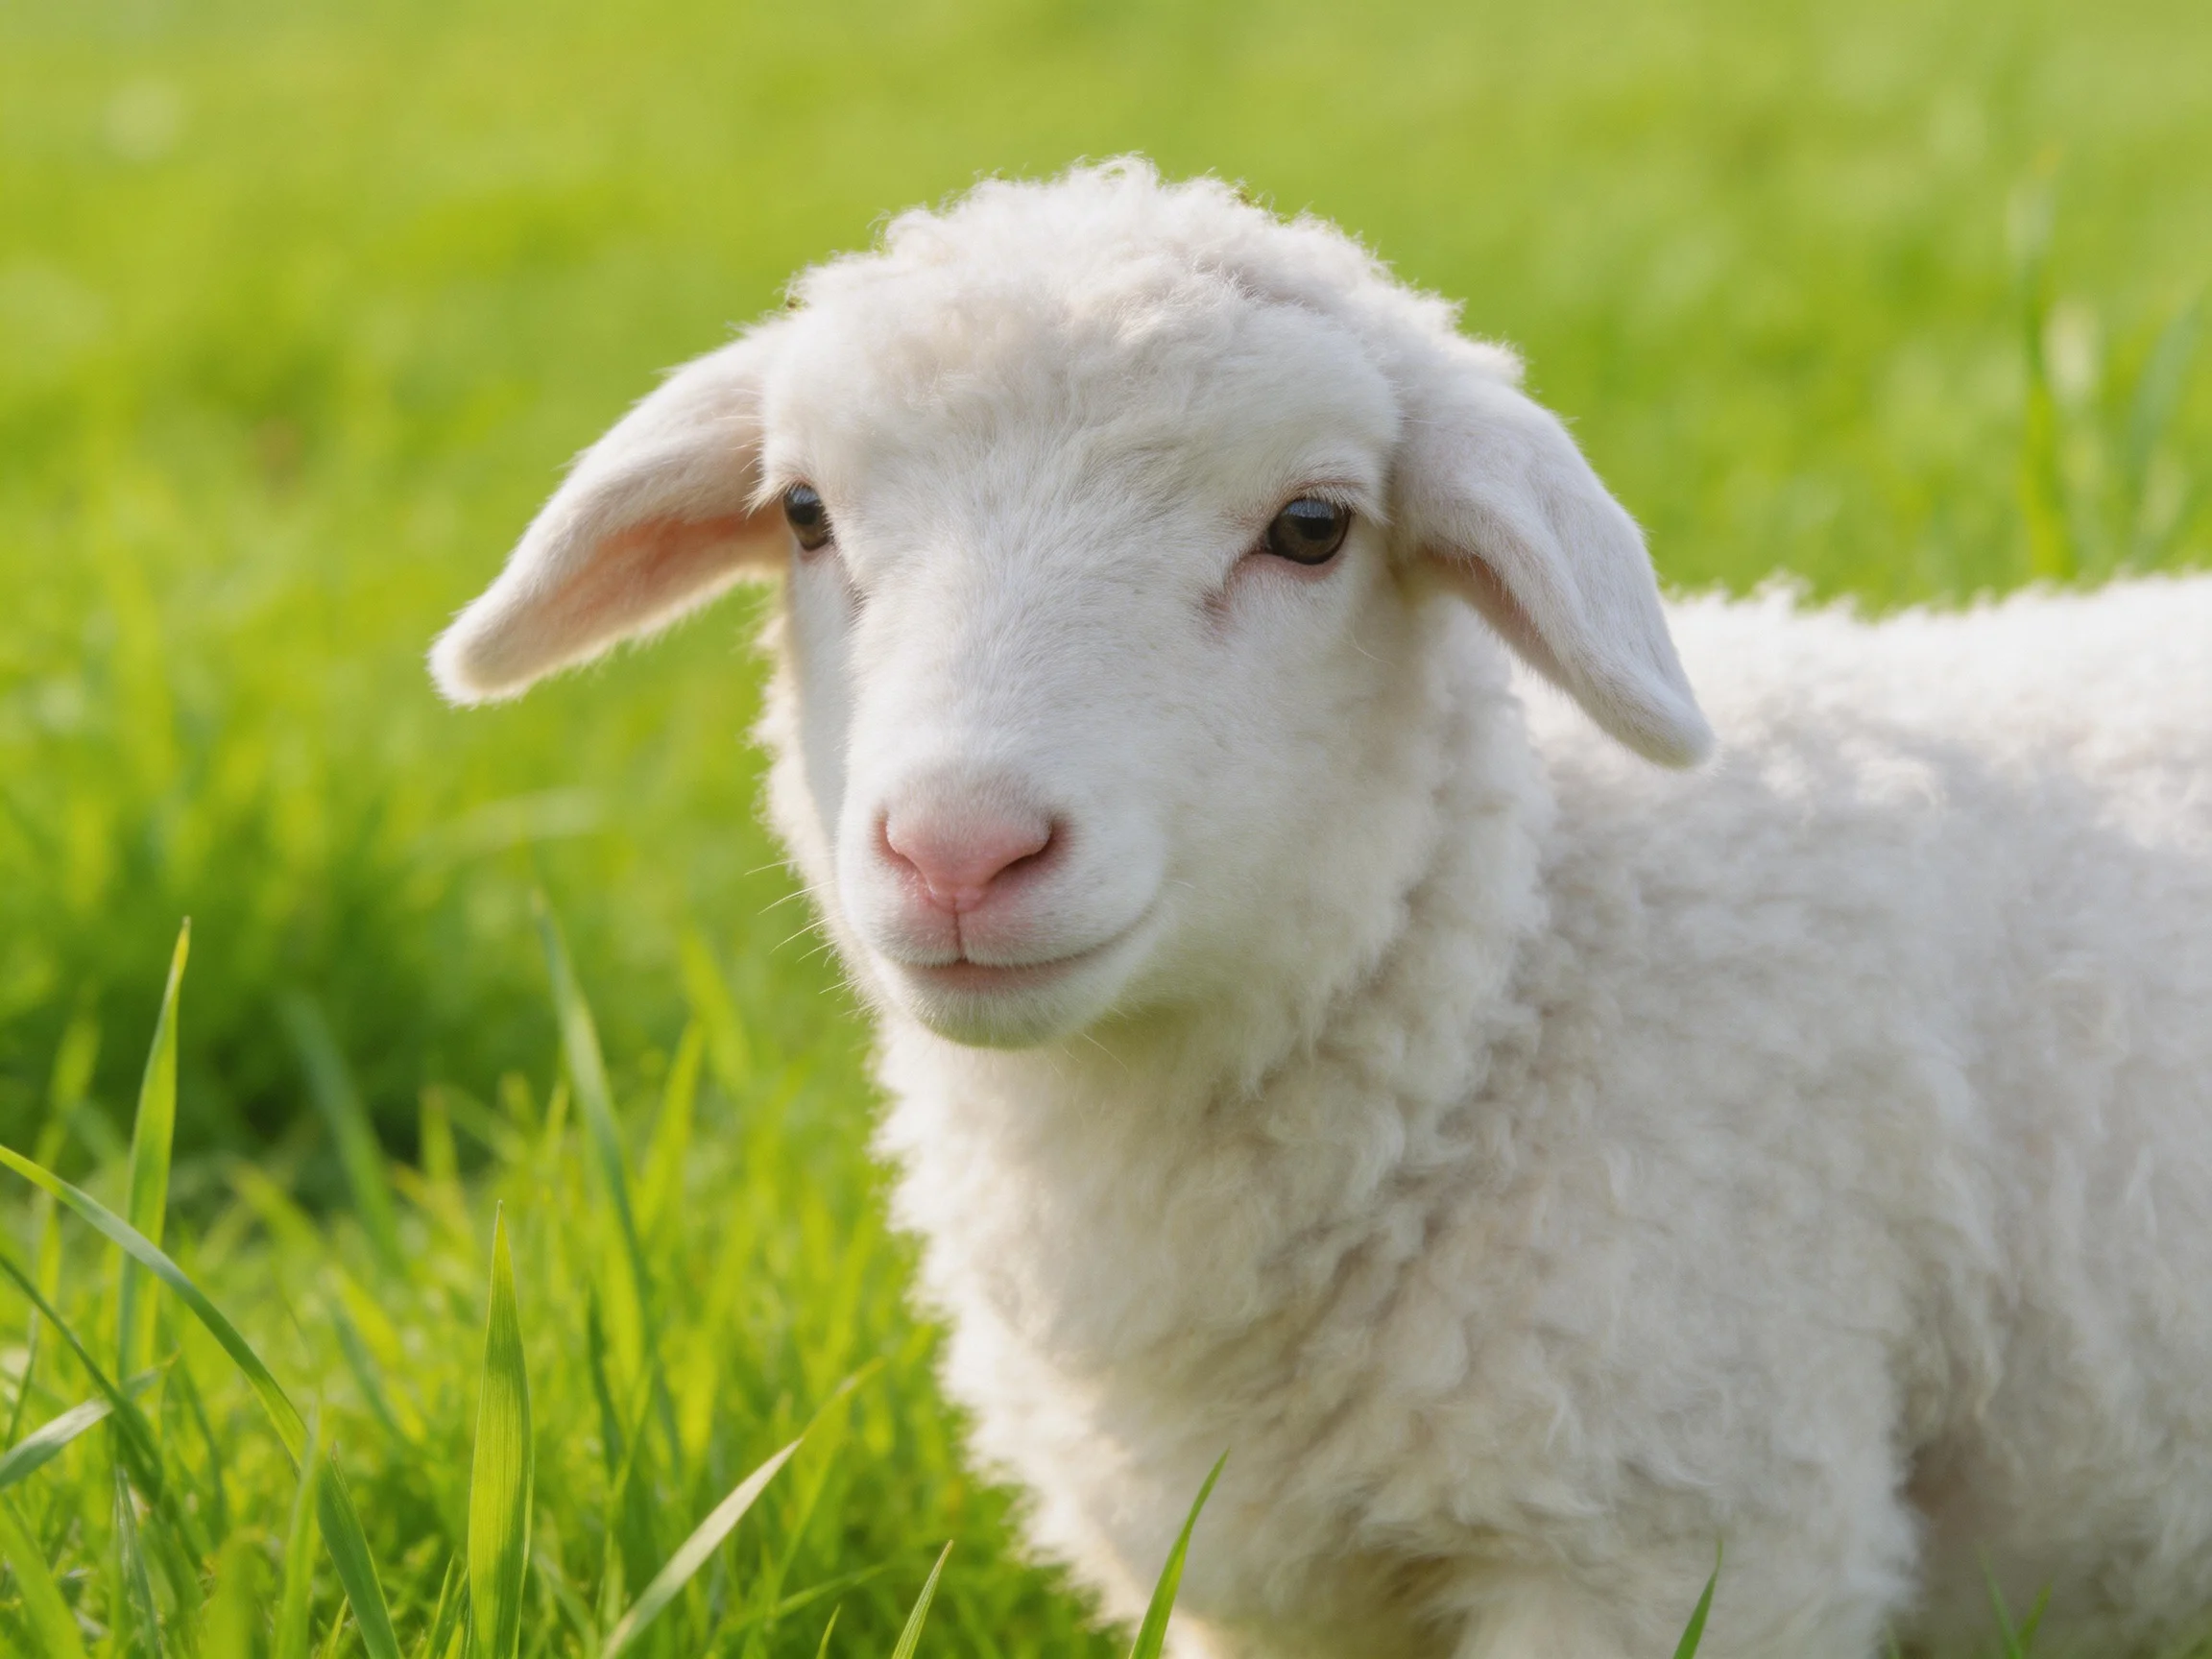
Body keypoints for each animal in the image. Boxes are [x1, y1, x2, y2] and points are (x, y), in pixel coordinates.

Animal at [429, 160, 2212, 1659]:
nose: (959, 849)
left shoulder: (1682, 1530)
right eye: (804, 513)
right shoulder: (1258, 1584)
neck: (1514, 975)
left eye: (1309, 527)